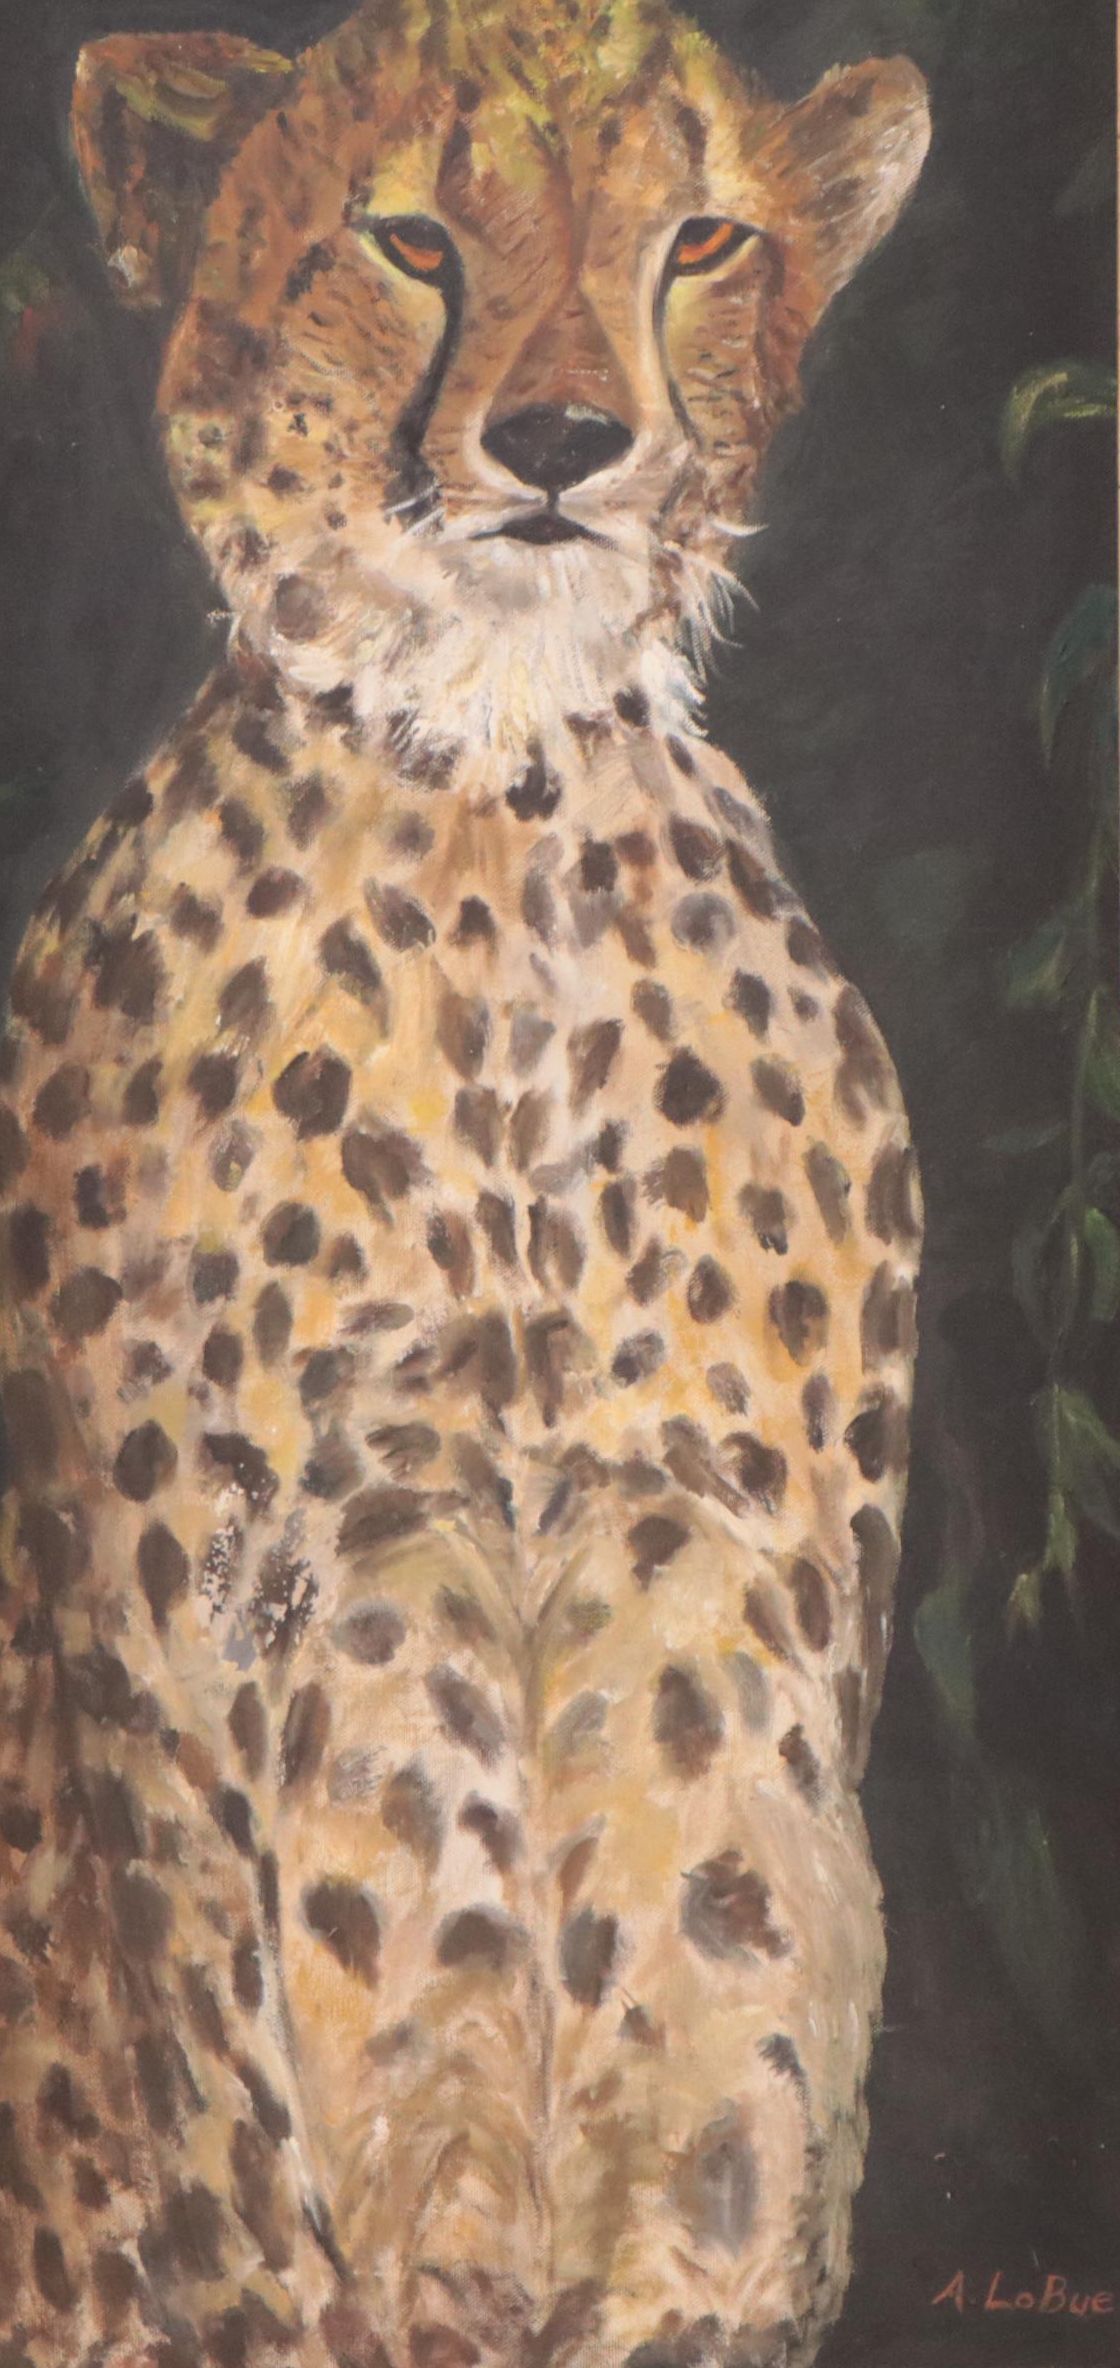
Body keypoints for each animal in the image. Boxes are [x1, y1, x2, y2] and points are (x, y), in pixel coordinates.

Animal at [0, 5, 928, 2366]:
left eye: (699, 237)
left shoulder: (725, 1604)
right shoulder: (200, 1657)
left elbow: (723, 2100)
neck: (501, 783)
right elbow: (249, 2173)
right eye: (410, 237)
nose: (561, 438)